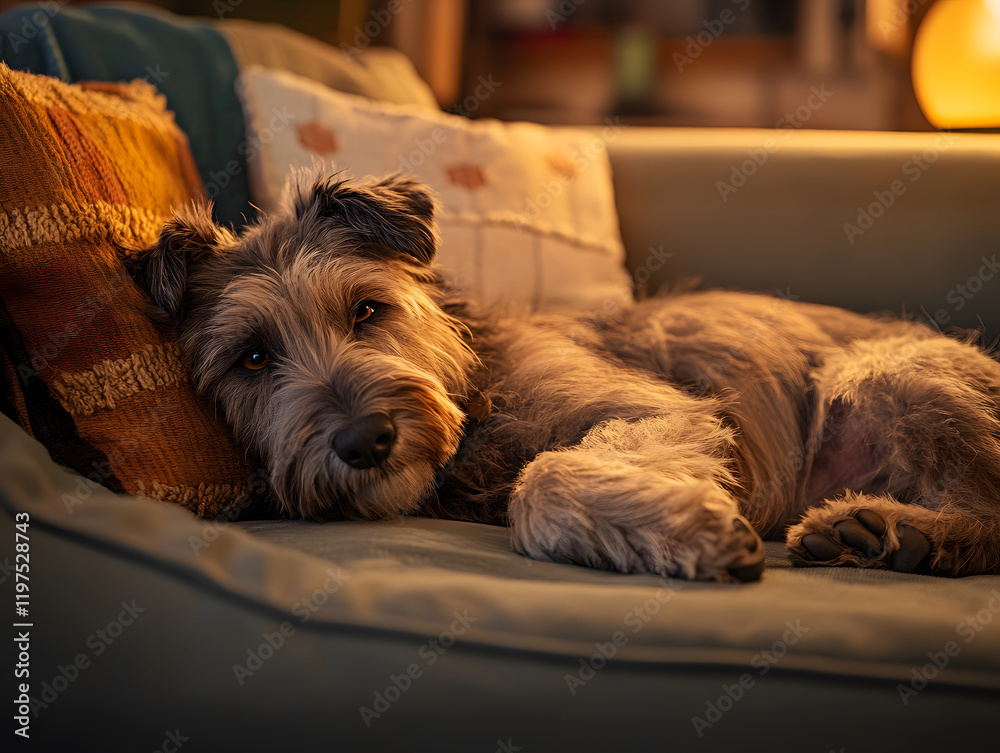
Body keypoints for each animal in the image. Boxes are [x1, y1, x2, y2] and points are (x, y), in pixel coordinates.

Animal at [129, 172, 1000, 580]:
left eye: (367, 310)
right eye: (252, 356)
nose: (365, 439)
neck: (475, 387)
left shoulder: (652, 409)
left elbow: (544, 478)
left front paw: (692, 530)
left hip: (894, 370)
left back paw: (899, 530)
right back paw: (881, 532)